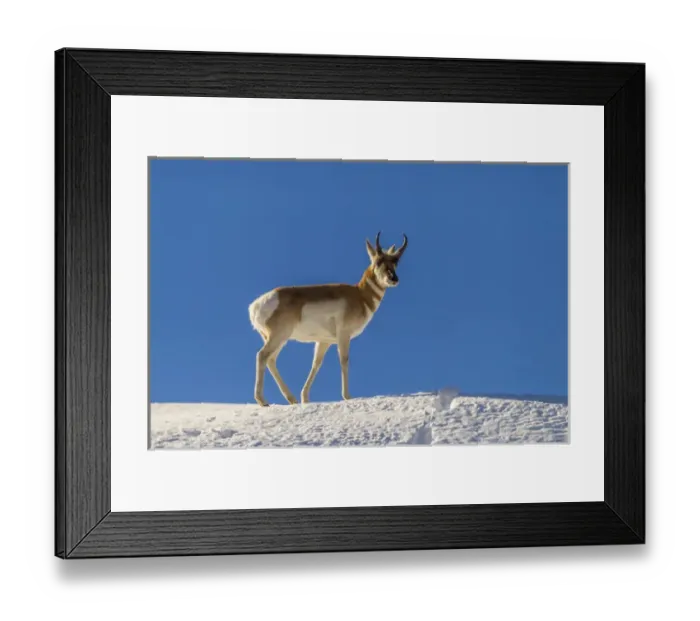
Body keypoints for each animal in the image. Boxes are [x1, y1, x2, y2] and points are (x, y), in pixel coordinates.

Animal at [248, 232, 408, 406]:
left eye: (396, 262)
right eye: (378, 261)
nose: (394, 279)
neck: (360, 295)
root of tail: (255, 306)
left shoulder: (324, 341)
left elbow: (316, 364)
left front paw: (305, 398)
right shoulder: (343, 335)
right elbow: (344, 360)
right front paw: (347, 396)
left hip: (279, 339)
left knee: (271, 360)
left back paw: (292, 399)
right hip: (279, 336)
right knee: (262, 356)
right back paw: (262, 400)